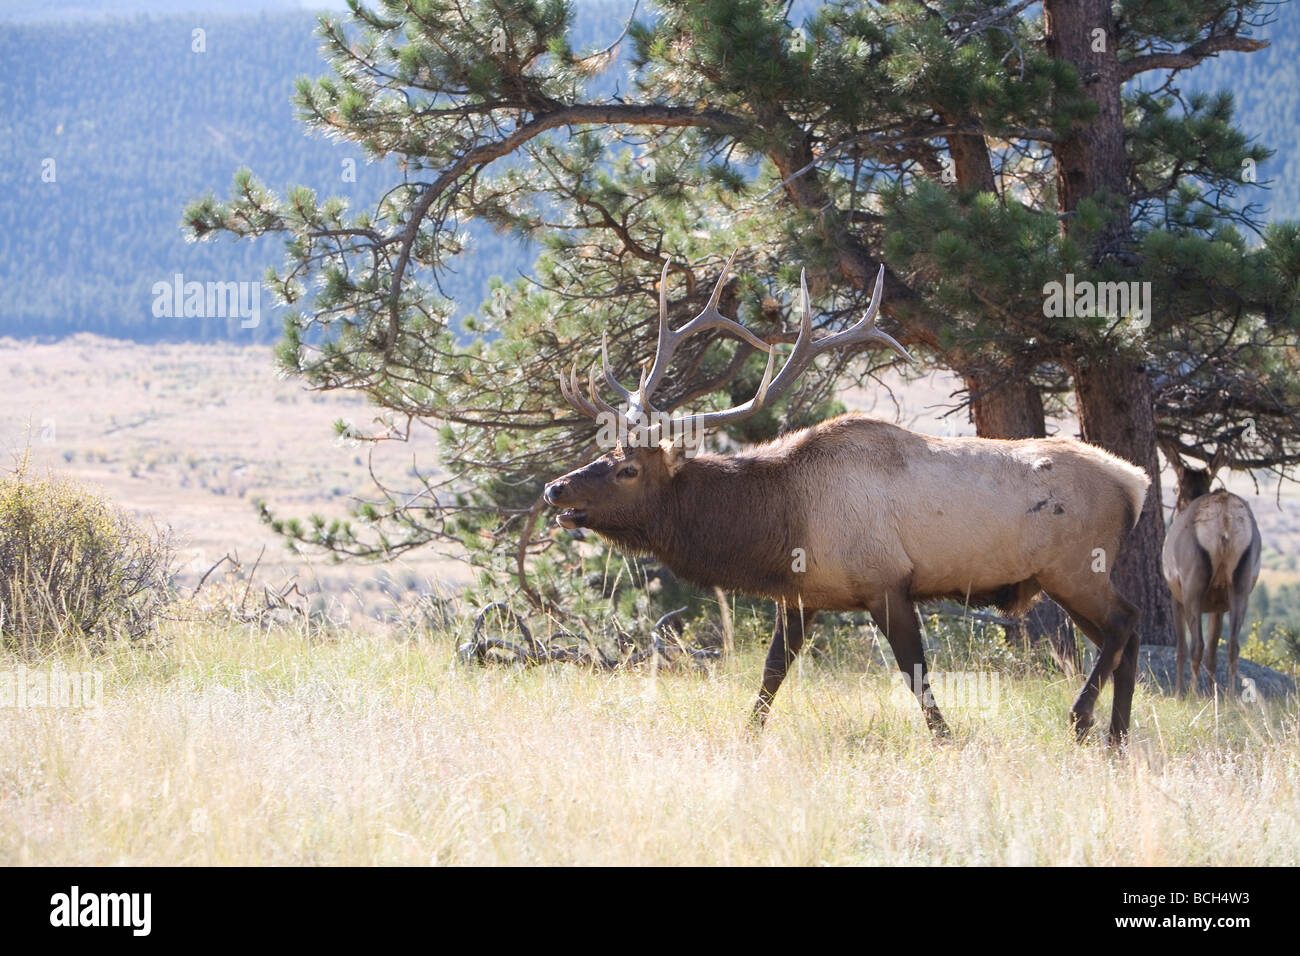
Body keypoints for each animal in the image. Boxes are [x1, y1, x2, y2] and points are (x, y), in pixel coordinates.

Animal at [544, 254, 1152, 744]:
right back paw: (1117, 739)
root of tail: (1137, 481)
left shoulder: (886, 581)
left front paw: (946, 739)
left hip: (1074, 566)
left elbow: (914, 673)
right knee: (1128, 632)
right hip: (1067, 578)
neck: (780, 522)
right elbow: (773, 670)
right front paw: (748, 734)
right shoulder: (801, 595)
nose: (555, 489)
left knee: (1126, 620)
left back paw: (1083, 720)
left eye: (627, 469)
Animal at [1161, 444, 1262, 697]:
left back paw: (1192, 695)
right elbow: (1213, 654)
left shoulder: (1174, 595)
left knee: (1196, 645)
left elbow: (1180, 649)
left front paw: (1179, 693)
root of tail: (1225, 520)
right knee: (1233, 645)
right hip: (1241, 583)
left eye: (1175, 487)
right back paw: (1232, 696)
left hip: (1192, 582)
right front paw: (1212, 693)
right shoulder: (1218, 606)